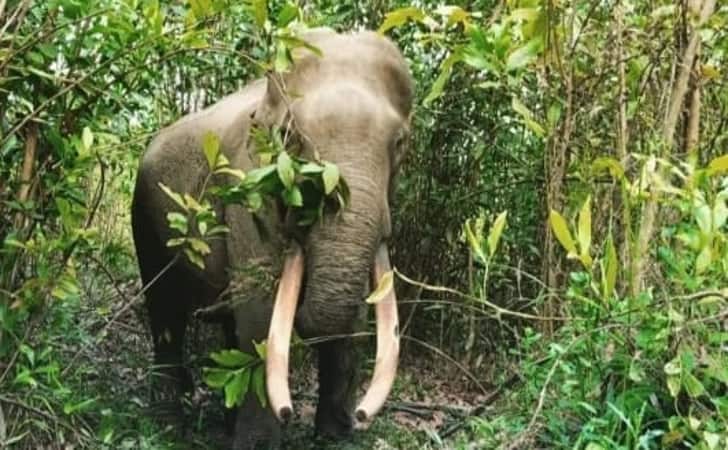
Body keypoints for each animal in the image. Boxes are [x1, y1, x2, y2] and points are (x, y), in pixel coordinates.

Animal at [132, 29, 416, 448]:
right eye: (290, 138)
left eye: (400, 143)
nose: (363, 415)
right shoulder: (246, 188)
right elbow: (260, 307)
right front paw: (258, 444)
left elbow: (356, 310)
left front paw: (336, 437)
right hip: (145, 219)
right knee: (164, 307)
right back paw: (168, 424)